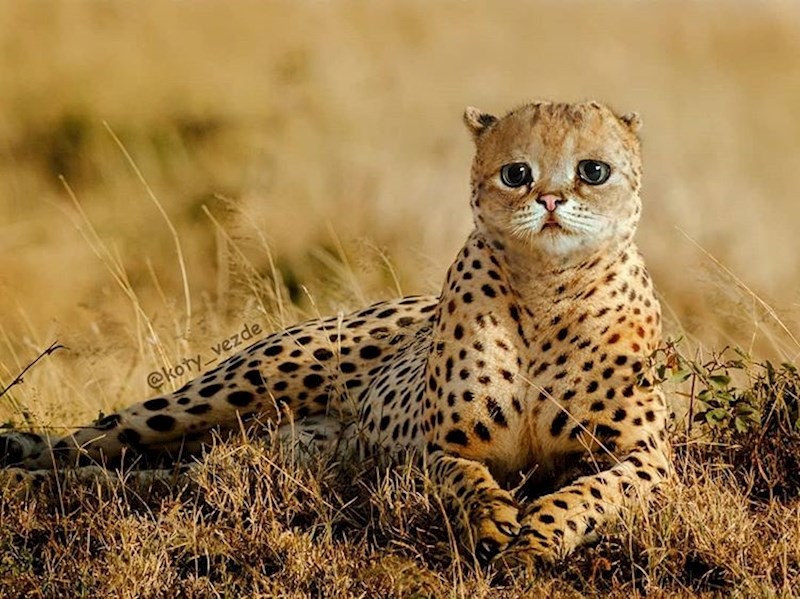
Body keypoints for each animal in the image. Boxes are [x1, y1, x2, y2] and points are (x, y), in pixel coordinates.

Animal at [0, 100, 670, 568]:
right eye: (516, 173)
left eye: (593, 171)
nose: (551, 201)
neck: (545, 287)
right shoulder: (440, 450)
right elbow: (469, 481)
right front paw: (491, 521)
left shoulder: (647, 459)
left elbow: (587, 494)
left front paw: (535, 539)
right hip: (234, 389)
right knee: (94, 440)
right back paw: (21, 468)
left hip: (249, 455)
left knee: (150, 475)